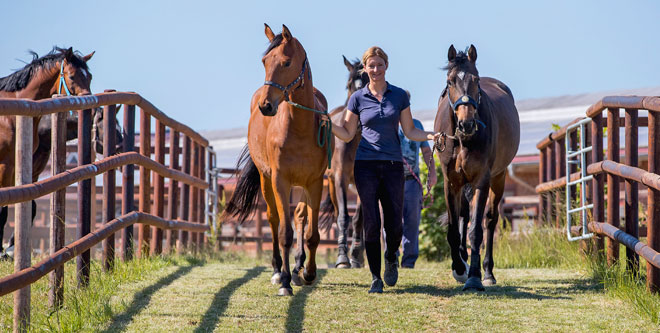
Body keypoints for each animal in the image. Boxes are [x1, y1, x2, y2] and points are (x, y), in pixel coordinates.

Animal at [0, 46, 95, 253]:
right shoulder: (5, 166)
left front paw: (10, 248)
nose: (90, 108)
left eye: (90, 76)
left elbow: (30, 204)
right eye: (72, 76)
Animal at [223, 24, 330, 296]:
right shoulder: (280, 181)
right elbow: (284, 233)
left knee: (300, 216)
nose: (266, 105)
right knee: (273, 219)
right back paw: (276, 270)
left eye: (286, 62)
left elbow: (312, 234)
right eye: (264, 61)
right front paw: (284, 282)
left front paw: (308, 273)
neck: (299, 128)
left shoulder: (315, 182)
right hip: (266, 180)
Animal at [434, 44, 520, 290]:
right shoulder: (451, 182)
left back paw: (488, 272)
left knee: (490, 221)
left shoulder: (482, 180)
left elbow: (476, 231)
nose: (467, 123)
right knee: (464, 214)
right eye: (450, 81)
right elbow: (454, 229)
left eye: (476, 80)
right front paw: (459, 268)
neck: (462, 140)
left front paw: (473, 276)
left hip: (498, 178)